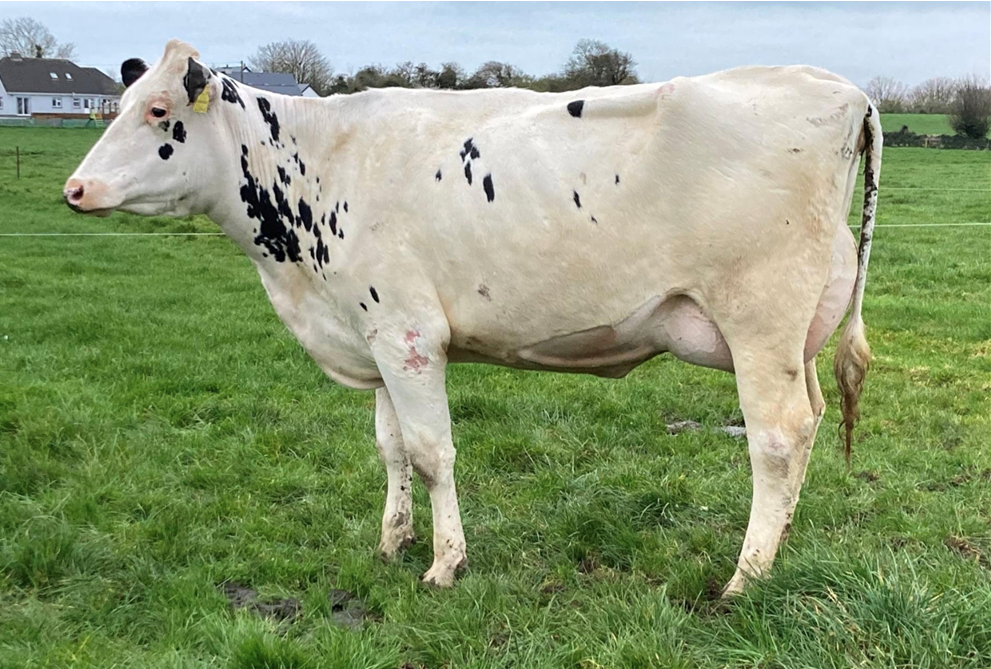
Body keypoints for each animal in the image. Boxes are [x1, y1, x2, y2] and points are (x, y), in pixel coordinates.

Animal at [64, 40, 880, 595]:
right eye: (116, 106)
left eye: (160, 113)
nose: (75, 189)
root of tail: (840, 89)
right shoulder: (372, 335)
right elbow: (391, 448)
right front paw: (392, 543)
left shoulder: (407, 331)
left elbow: (432, 453)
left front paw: (444, 563)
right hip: (796, 334)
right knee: (809, 420)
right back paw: (781, 545)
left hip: (759, 321)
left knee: (777, 437)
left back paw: (747, 575)